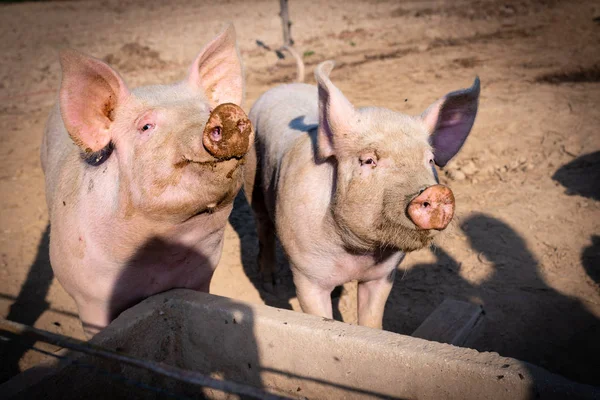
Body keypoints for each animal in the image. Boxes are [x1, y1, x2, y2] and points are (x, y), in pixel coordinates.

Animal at [244, 60, 478, 328]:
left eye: (429, 160)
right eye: (368, 160)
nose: (437, 192)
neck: (357, 254)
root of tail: (287, 84)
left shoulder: (382, 275)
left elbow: (372, 318)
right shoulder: (306, 276)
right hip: (253, 177)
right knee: (263, 225)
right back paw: (269, 283)